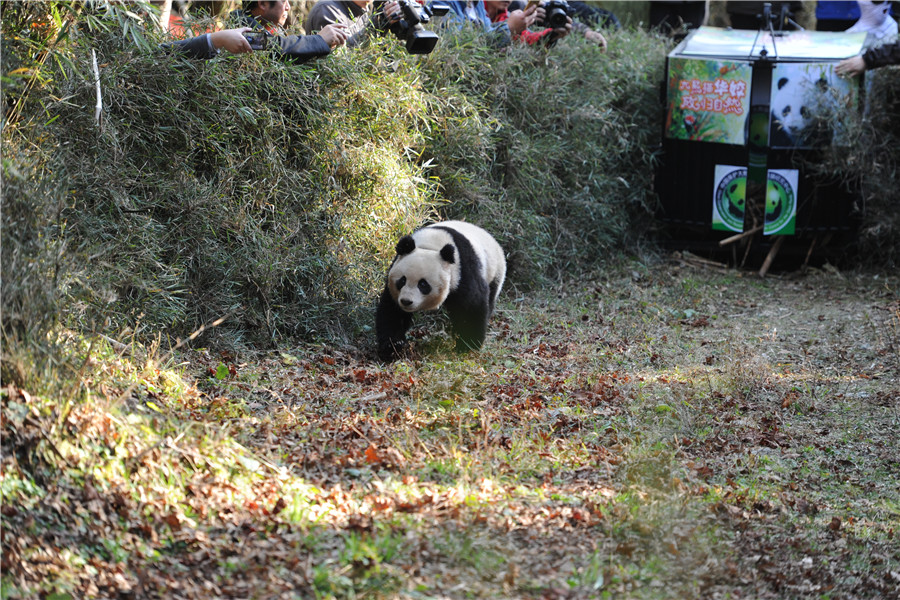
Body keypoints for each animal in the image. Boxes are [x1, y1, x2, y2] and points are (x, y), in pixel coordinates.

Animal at [375, 221, 506, 361]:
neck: (431, 246)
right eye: (402, 280)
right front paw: (393, 347)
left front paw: (467, 345)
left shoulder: (462, 272)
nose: (406, 301)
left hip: (494, 273)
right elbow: (392, 311)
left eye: (423, 284)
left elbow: (472, 305)